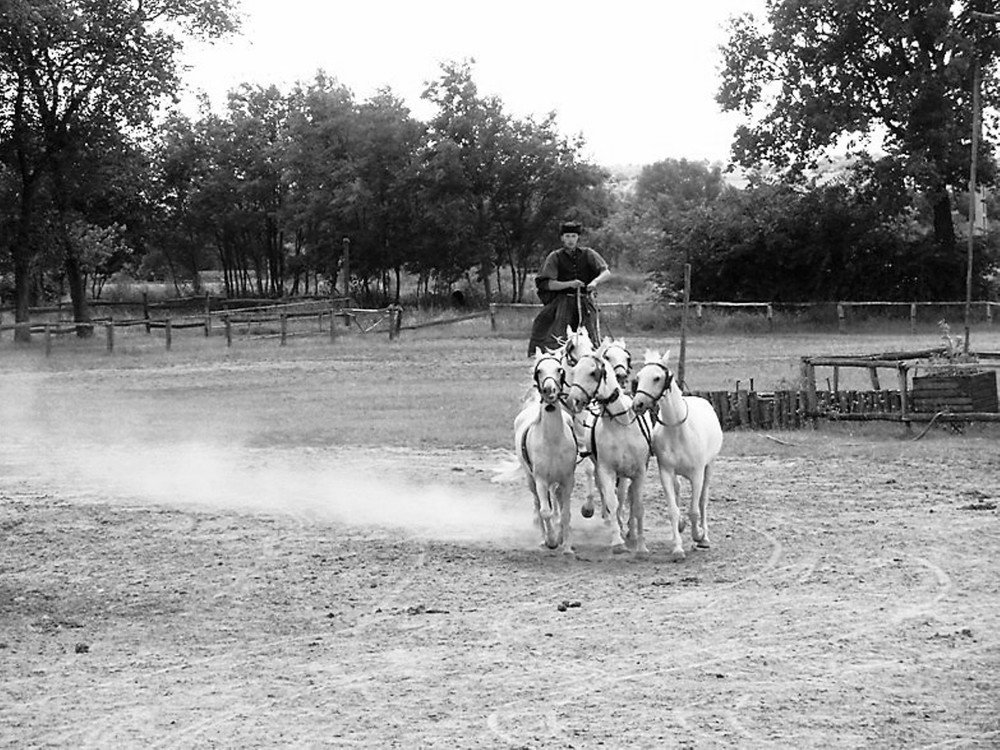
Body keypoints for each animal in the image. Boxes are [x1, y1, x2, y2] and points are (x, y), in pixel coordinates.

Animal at [512, 349, 579, 553]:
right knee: (538, 504)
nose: (550, 390)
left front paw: (566, 545)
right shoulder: (541, 479)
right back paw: (544, 537)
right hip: (531, 480)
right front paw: (551, 541)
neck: (553, 440)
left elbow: (565, 513)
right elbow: (545, 511)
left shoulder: (567, 479)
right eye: (539, 370)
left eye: (559, 369)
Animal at [565, 341, 653, 555]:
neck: (620, 422)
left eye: (593, 373)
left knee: (625, 496)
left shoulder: (639, 471)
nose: (574, 400)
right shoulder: (606, 469)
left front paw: (640, 544)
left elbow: (637, 505)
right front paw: (617, 541)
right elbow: (612, 501)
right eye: (574, 370)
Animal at [630, 349, 723, 561]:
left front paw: (698, 536)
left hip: (709, 467)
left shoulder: (697, 474)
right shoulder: (665, 471)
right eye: (638, 377)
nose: (638, 404)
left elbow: (694, 510)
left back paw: (704, 537)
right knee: (679, 489)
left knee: (703, 500)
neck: (678, 430)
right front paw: (678, 548)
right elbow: (673, 510)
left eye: (657, 377)